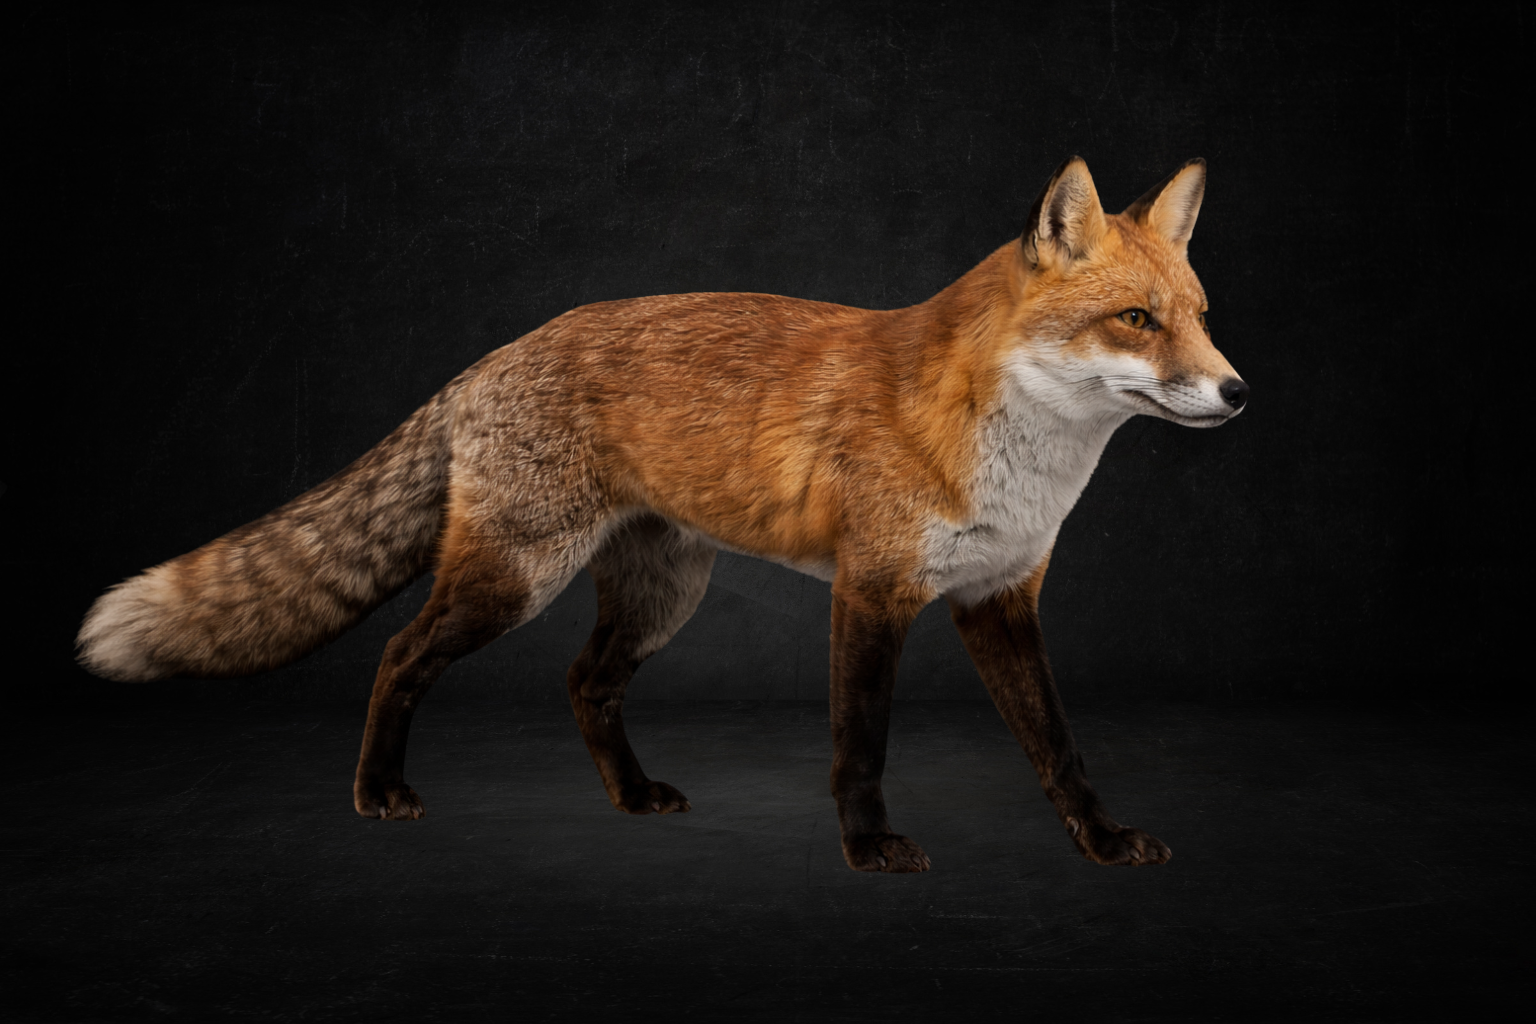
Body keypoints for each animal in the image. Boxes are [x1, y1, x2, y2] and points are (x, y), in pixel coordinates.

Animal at [77, 156, 1245, 873]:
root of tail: (488, 359)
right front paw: (870, 852)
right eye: (1135, 321)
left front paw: (1103, 842)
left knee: (583, 682)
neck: (1017, 459)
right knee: (398, 655)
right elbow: (860, 743)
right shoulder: (873, 591)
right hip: (515, 578)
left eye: (1198, 316)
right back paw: (379, 790)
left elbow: (1058, 744)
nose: (1238, 393)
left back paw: (631, 798)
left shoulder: (999, 596)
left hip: (661, 593)